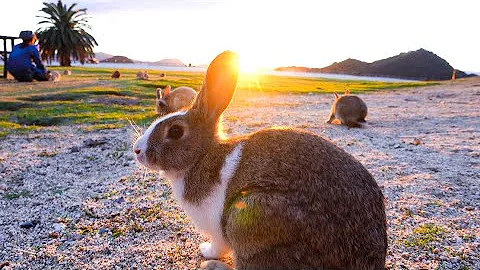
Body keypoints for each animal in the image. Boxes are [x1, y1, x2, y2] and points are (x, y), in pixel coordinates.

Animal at [132, 51, 386, 270]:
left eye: (175, 131)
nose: (137, 150)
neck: (201, 156)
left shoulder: (218, 229)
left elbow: (217, 245)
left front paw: (205, 251)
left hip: (246, 217)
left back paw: (212, 266)